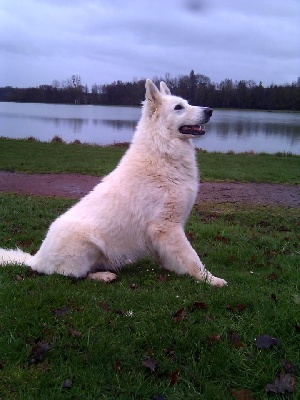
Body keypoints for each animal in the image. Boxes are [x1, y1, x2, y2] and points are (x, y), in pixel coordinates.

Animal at [0, 79, 227, 286]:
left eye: (187, 103)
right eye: (178, 107)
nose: (210, 110)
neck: (162, 151)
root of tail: (36, 259)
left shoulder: (164, 232)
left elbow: (175, 257)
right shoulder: (167, 227)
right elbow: (192, 258)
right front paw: (211, 280)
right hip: (87, 244)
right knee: (76, 275)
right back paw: (103, 276)